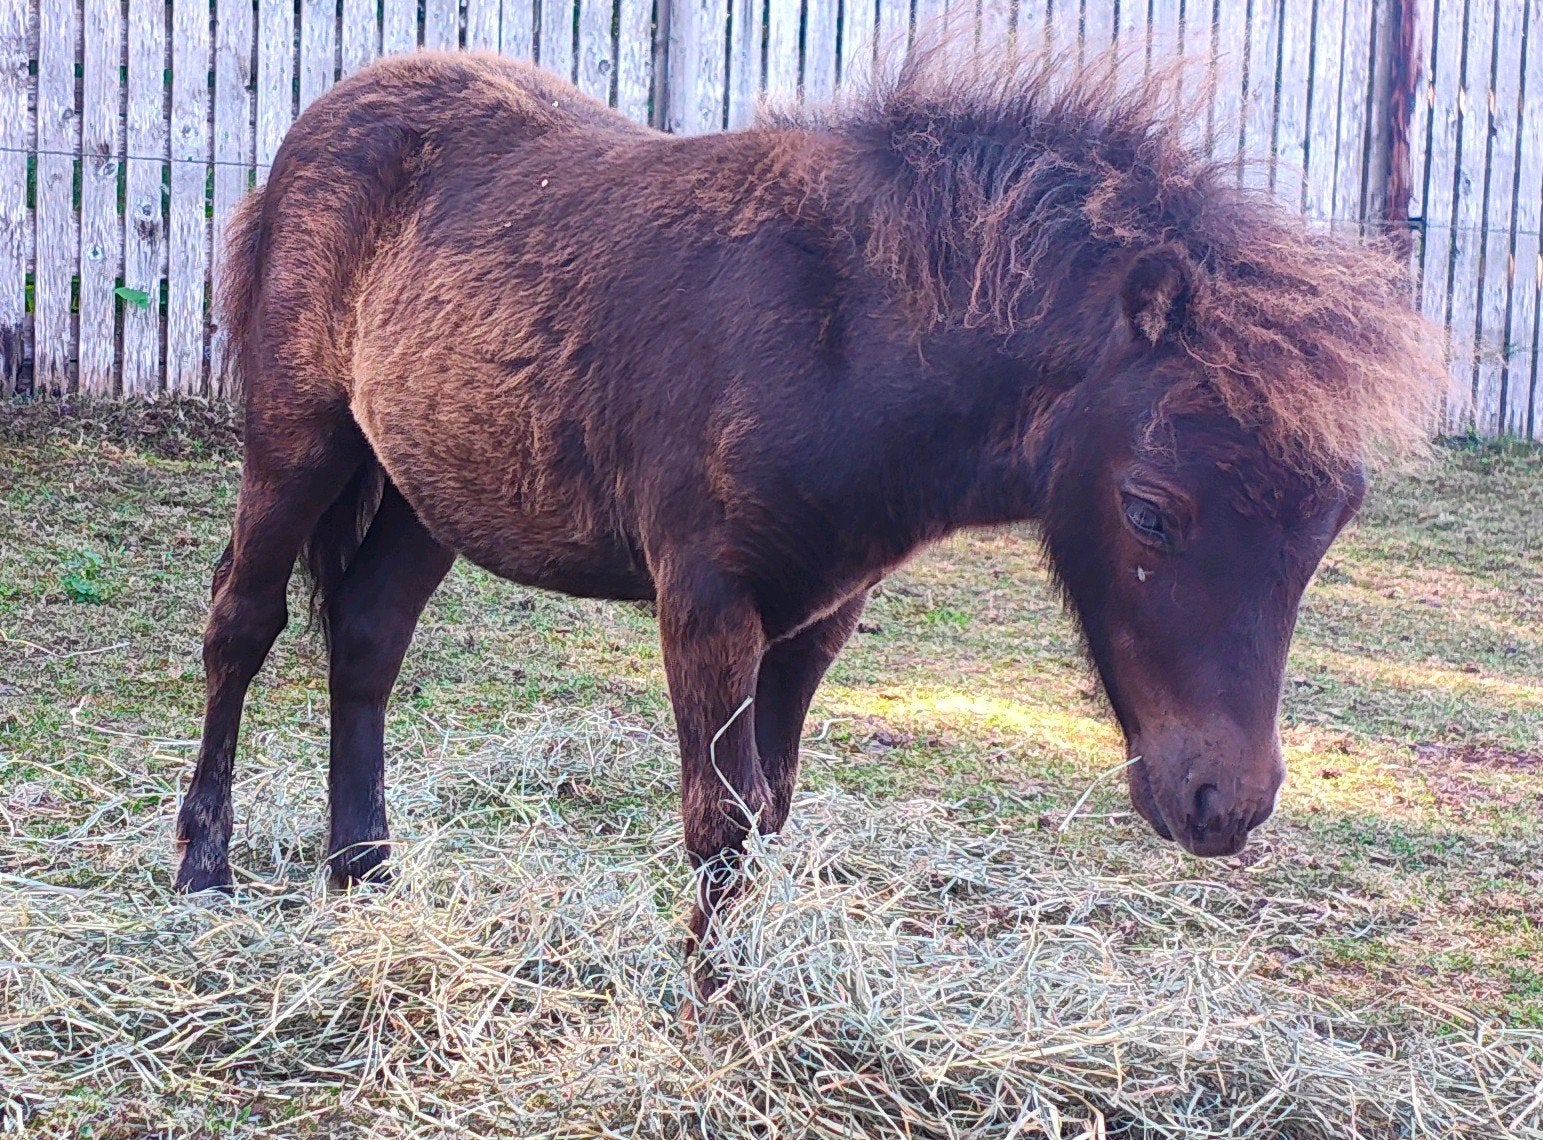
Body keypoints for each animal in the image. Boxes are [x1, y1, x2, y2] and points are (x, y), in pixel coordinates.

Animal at [173, 45, 1444, 954]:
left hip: (426, 487)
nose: (1223, 804)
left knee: (367, 636)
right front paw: (702, 1010)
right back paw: (203, 869)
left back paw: (362, 876)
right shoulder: (706, 601)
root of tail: (331, 112)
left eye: (1331, 526)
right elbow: (718, 815)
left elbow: (769, 811)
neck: (845, 329)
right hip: (299, 442)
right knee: (242, 623)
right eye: (1148, 510)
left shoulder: (818, 615)